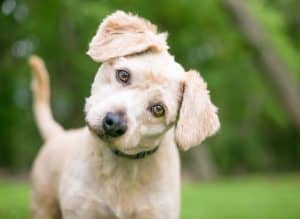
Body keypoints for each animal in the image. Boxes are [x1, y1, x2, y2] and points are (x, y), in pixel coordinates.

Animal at [28, 10, 220, 219]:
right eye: (123, 75)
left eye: (158, 109)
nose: (113, 123)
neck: (121, 167)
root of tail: (57, 135)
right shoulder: (81, 210)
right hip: (43, 206)